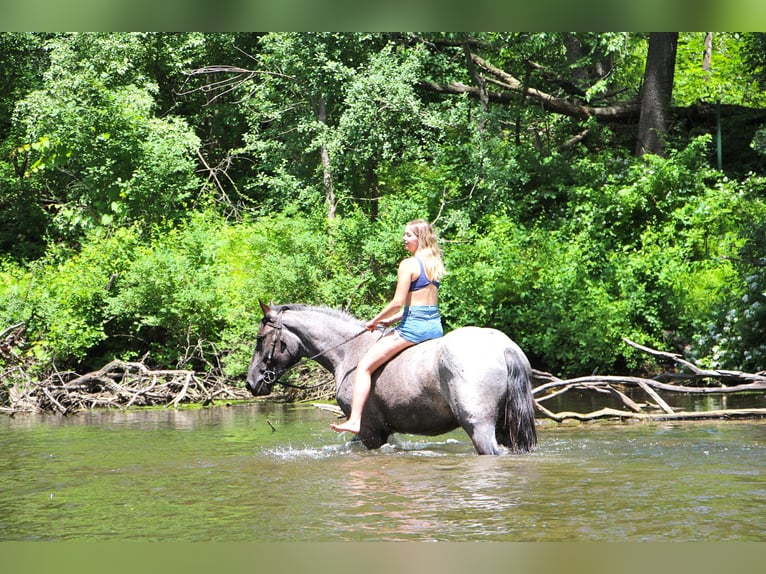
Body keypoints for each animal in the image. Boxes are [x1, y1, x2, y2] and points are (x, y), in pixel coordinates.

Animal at [249, 304, 536, 456]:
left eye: (260, 338)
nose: (251, 382)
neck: (348, 352)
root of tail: (504, 347)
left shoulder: (368, 431)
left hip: (480, 428)